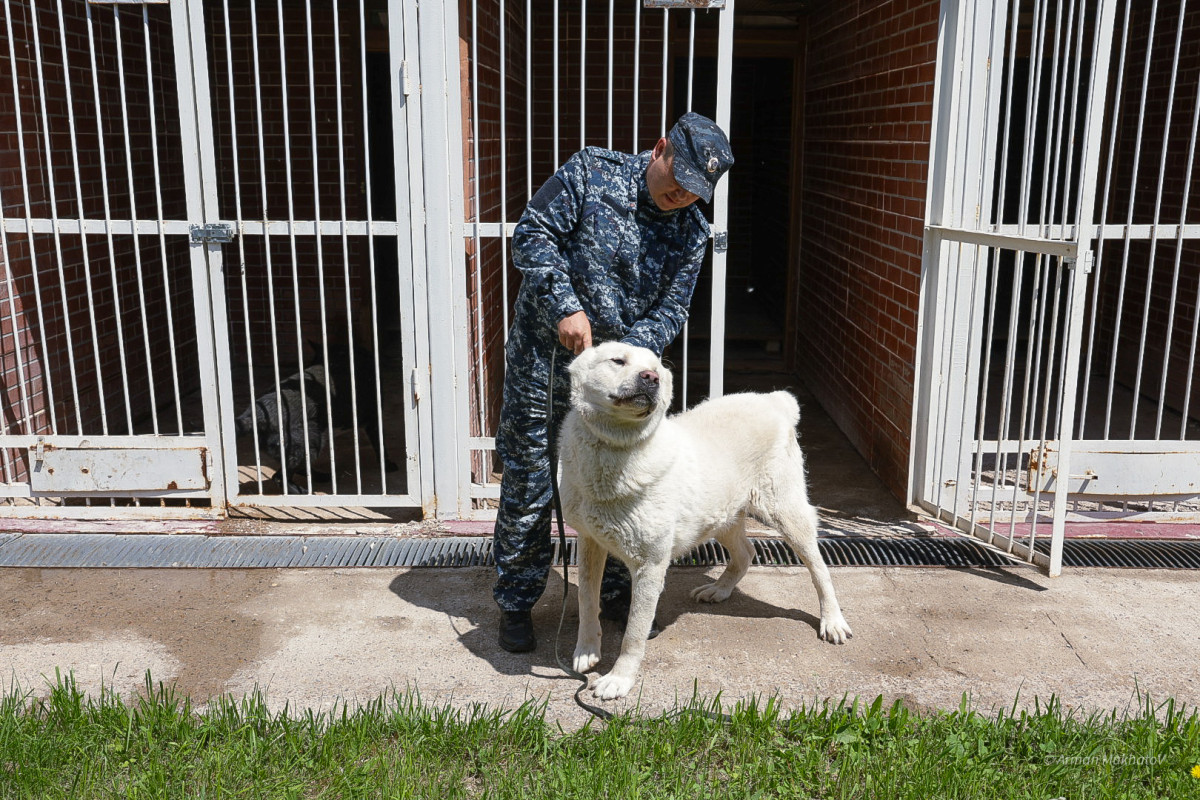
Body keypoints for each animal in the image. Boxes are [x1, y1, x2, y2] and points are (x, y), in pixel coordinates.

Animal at [561, 340, 854, 695]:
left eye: (656, 369)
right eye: (618, 361)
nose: (650, 378)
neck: (613, 450)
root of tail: (773, 400)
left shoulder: (650, 565)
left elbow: (633, 634)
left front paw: (619, 679)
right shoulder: (589, 542)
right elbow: (586, 599)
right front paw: (587, 650)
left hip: (785, 513)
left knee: (819, 568)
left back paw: (832, 621)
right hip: (720, 516)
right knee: (746, 553)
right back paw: (719, 590)